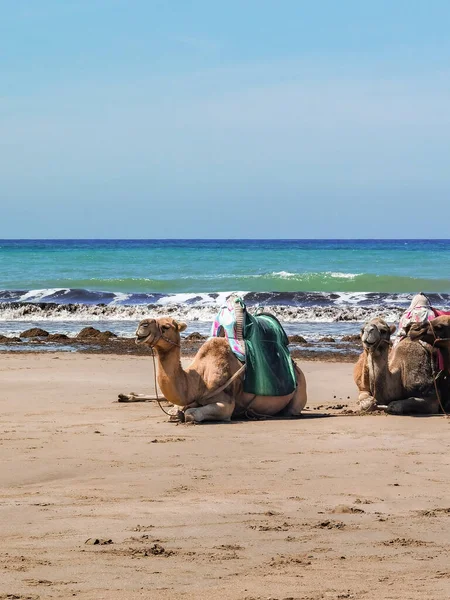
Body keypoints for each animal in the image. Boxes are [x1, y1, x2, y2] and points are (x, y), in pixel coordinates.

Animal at [118, 316, 308, 424]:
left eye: (166, 327)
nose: (142, 325)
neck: (198, 381)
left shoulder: (226, 403)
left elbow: (191, 413)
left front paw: (185, 415)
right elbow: (175, 409)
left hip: (297, 398)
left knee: (291, 410)